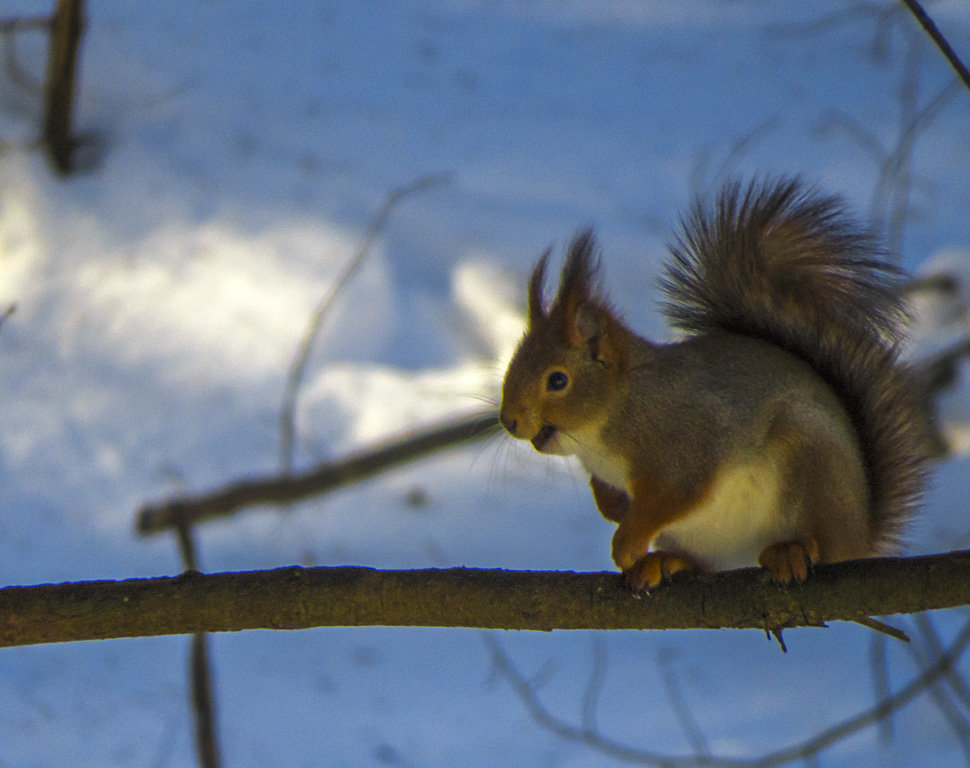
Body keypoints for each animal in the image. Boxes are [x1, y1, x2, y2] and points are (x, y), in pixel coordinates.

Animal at [500, 177, 932, 592]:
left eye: (558, 380)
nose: (508, 421)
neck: (616, 410)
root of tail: (861, 536)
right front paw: (614, 507)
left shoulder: (684, 447)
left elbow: (674, 494)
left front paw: (626, 543)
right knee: (704, 564)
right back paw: (665, 562)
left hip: (810, 464)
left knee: (823, 545)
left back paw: (791, 551)